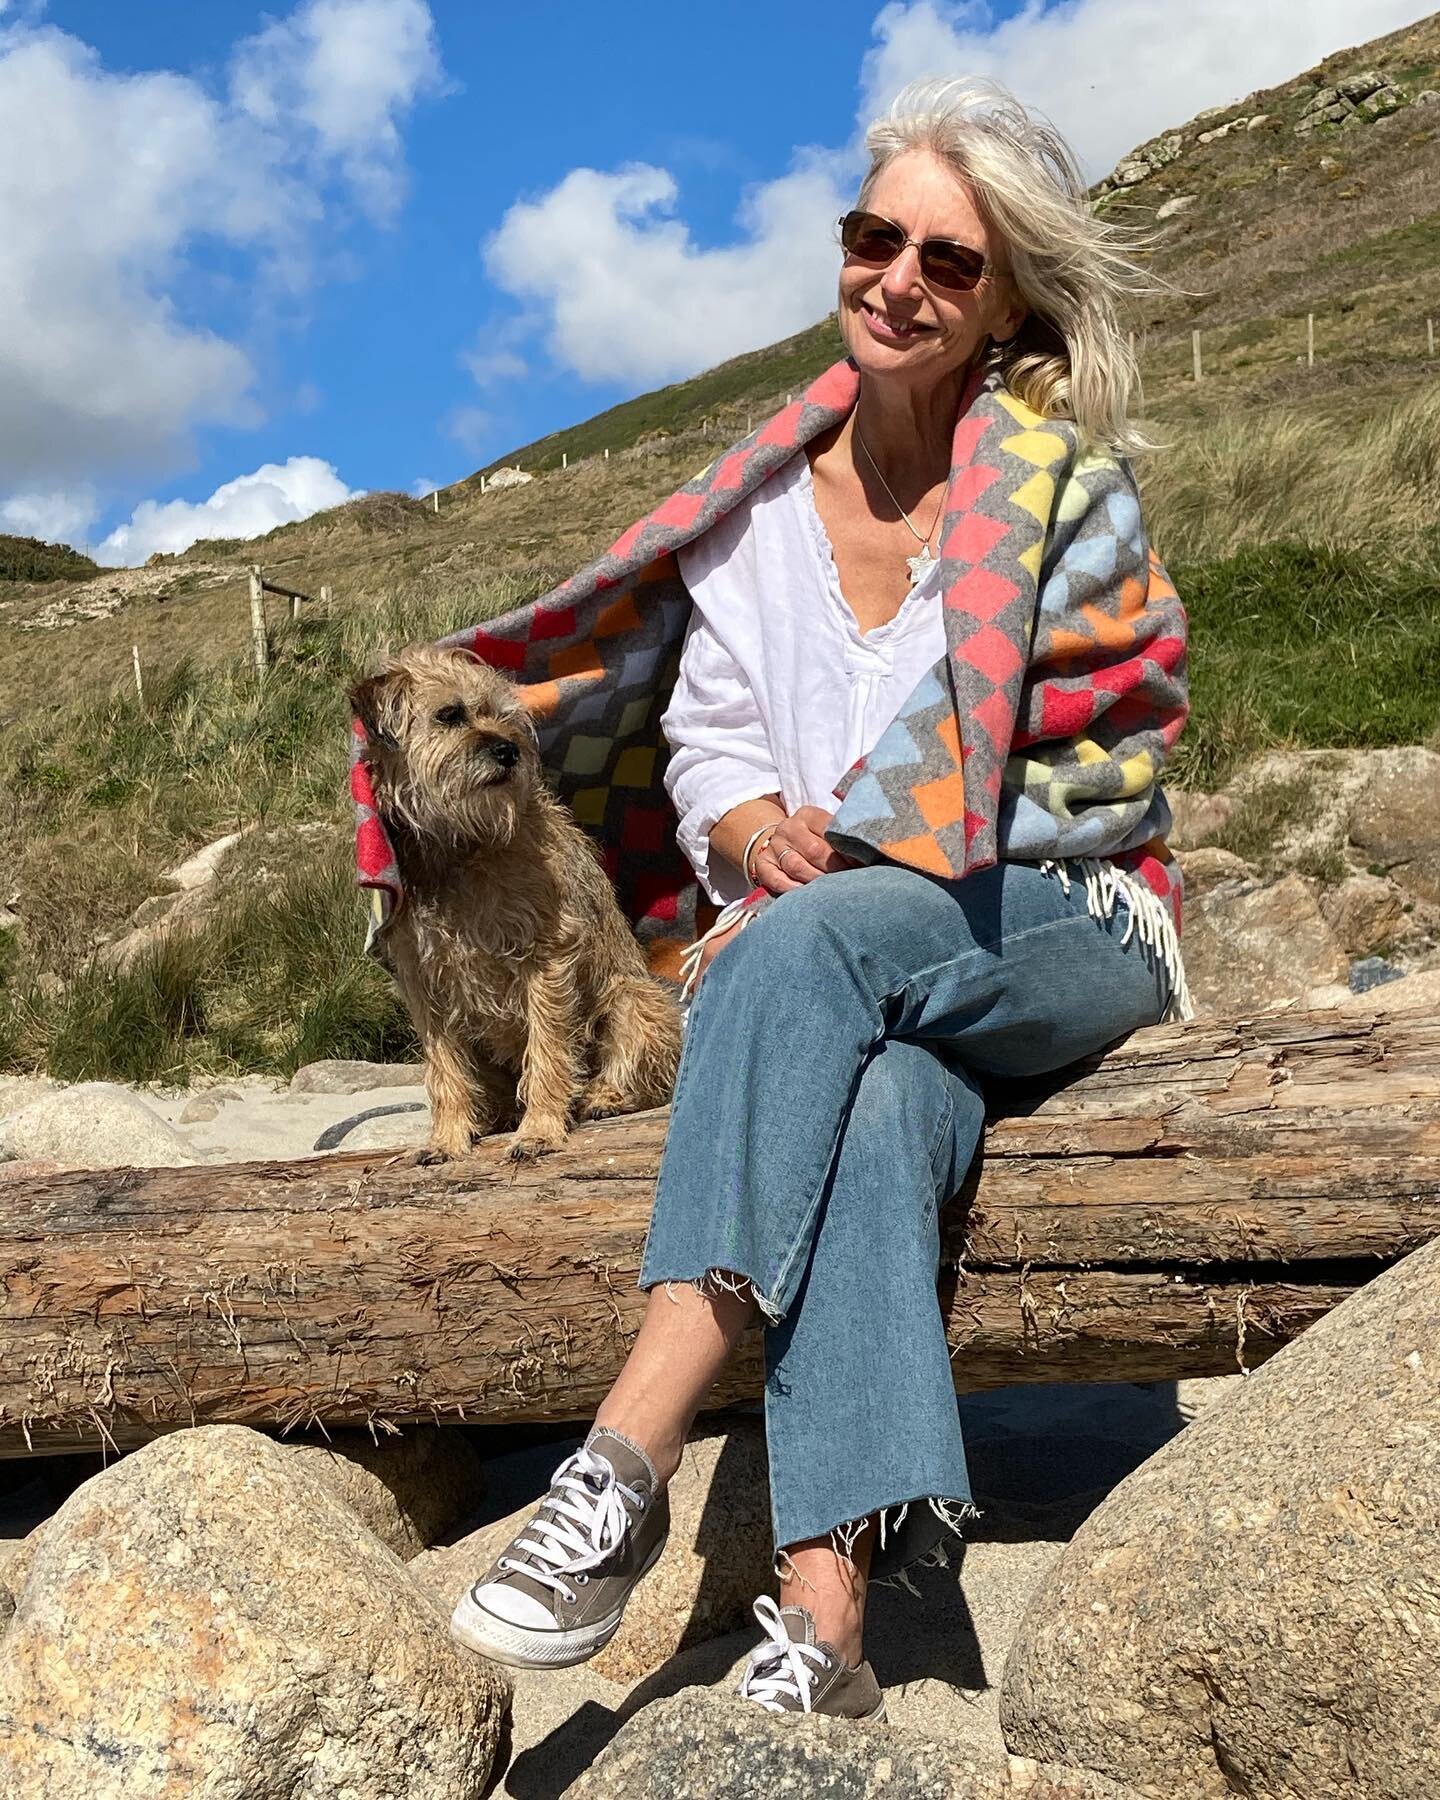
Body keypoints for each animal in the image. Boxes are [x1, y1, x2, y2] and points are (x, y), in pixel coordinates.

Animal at [351, 640, 684, 1159]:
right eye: (450, 714)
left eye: (505, 718)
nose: (508, 750)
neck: (459, 848)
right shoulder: (421, 982)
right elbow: (445, 1069)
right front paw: (446, 1138)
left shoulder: (544, 957)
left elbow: (547, 1050)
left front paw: (540, 1128)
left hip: (633, 999)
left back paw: (602, 1096)